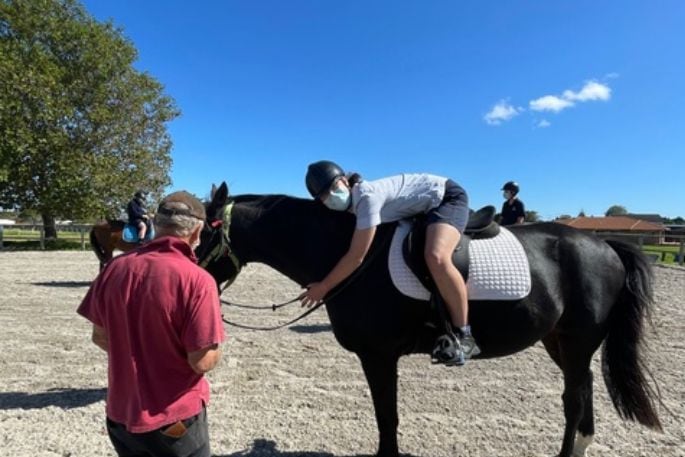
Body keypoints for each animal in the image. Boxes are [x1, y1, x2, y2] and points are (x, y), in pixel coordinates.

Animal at [196, 182, 656, 456]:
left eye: (205, 232)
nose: (190, 265)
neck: (349, 254)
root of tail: (605, 246)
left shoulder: (379, 357)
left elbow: (387, 417)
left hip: (576, 342)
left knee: (573, 399)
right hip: (559, 340)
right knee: (584, 387)